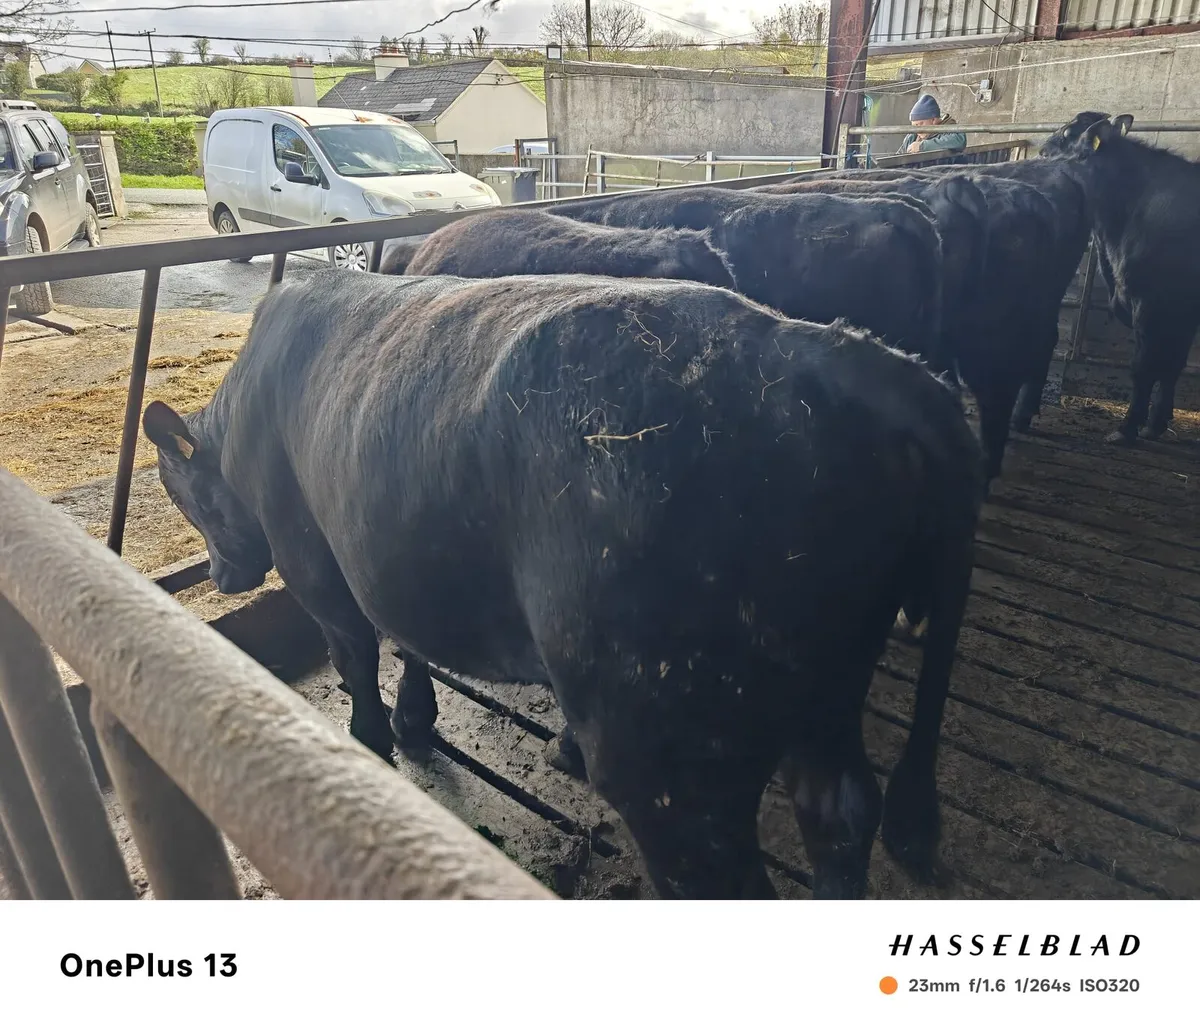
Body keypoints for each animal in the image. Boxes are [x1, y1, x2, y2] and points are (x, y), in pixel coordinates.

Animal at [141, 270, 981, 900]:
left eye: (186, 496)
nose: (221, 575)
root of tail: (842, 356)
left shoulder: (315, 560)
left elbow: (357, 652)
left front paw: (371, 739)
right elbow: (409, 643)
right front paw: (419, 718)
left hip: (672, 754)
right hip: (825, 691)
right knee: (839, 812)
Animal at [1039, 112, 1200, 443]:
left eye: (1066, 135)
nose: (1041, 150)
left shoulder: (1151, 301)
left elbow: (1143, 365)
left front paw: (1127, 428)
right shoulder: (1183, 310)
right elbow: (1172, 365)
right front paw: (1155, 424)